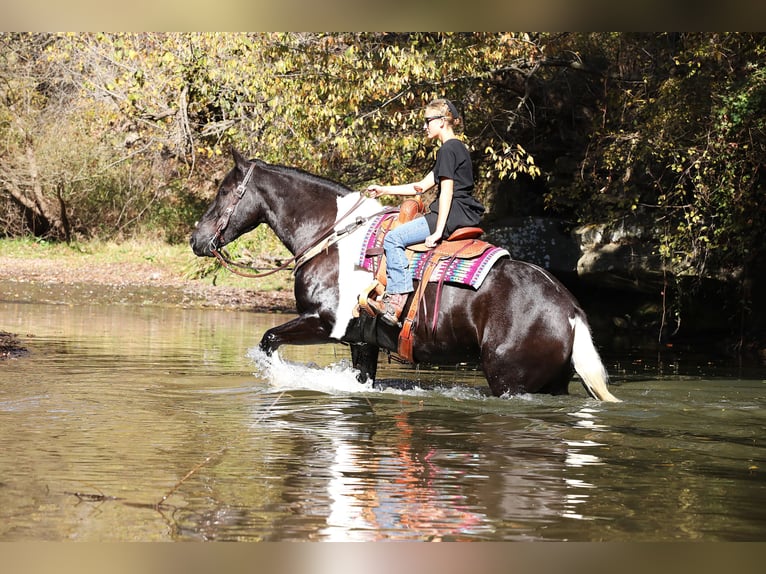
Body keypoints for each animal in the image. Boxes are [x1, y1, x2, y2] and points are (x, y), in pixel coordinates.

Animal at [192, 150, 624, 404]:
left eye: (225, 191)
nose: (197, 239)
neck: (332, 236)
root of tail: (569, 311)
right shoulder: (360, 341)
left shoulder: (326, 323)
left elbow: (268, 340)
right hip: (552, 382)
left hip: (509, 381)